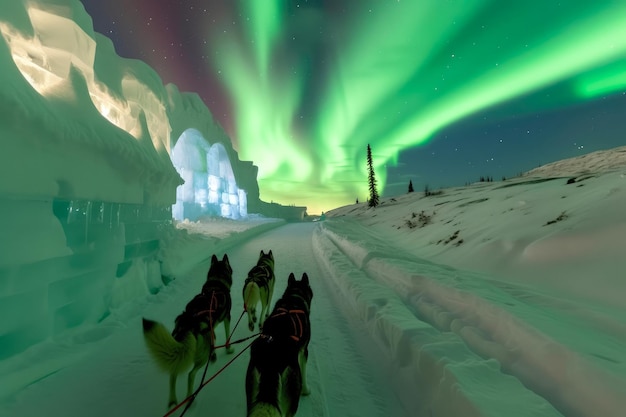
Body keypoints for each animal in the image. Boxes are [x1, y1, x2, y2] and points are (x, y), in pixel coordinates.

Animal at [141, 252, 234, 408]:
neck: (216, 284)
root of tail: (187, 323)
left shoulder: (211, 329)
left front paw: (214, 354)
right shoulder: (227, 318)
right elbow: (227, 336)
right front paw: (228, 349)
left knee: (173, 373)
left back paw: (173, 400)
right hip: (200, 358)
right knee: (191, 374)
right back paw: (189, 398)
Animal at [244, 272, 312, 414]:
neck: (294, 297)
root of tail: (271, 360)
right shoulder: (304, 350)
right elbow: (304, 373)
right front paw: (306, 390)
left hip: (251, 397)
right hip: (291, 401)